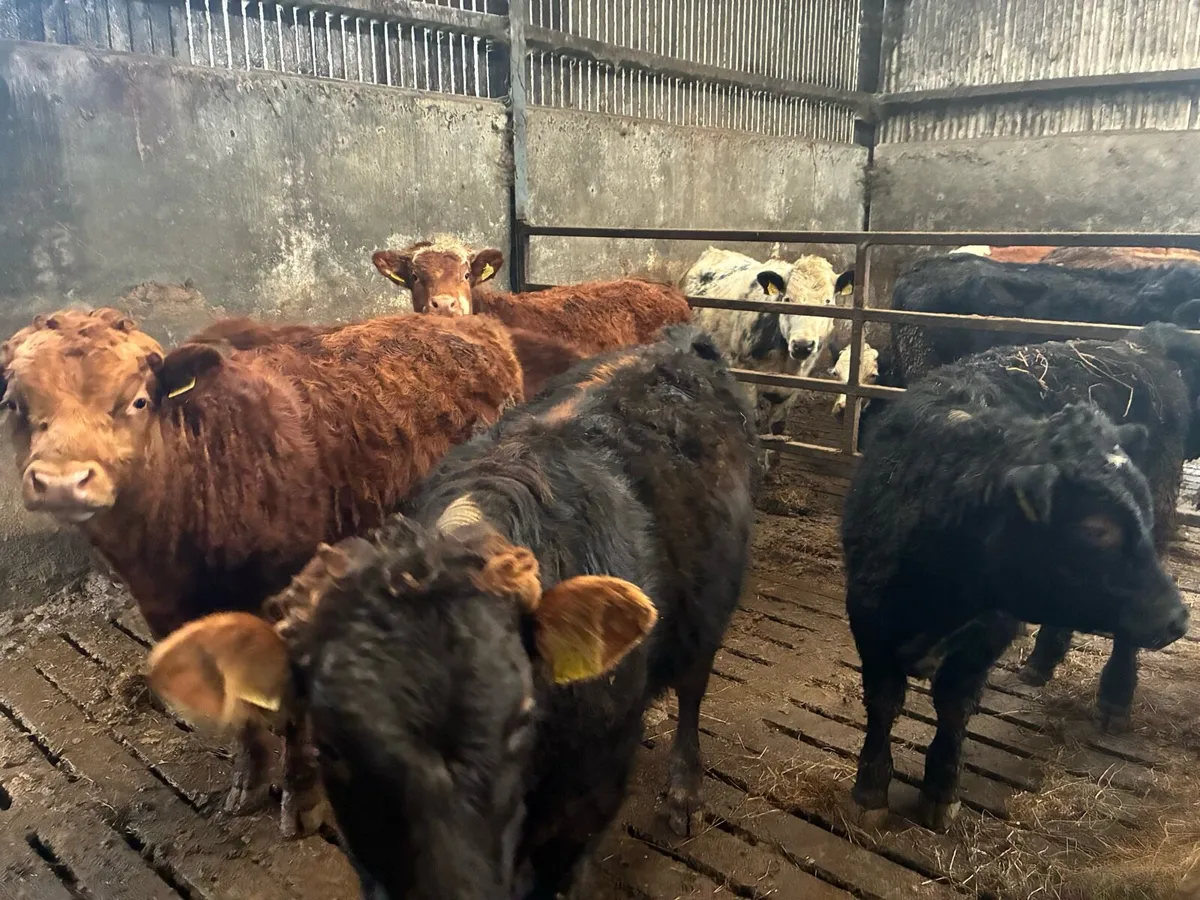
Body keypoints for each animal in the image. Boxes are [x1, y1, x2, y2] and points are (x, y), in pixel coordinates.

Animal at [2, 307, 524, 838]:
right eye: (13, 404)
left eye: (138, 401)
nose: (63, 482)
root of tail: (467, 323)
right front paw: (247, 784)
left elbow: (294, 713)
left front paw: (303, 800)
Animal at [147, 323, 760, 899]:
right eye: (331, 747)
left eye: (522, 721)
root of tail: (680, 342)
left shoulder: (585, 806)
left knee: (693, 689)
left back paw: (682, 791)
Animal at [681, 247, 862, 435]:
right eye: (787, 299)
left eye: (827, 301)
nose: (802, 345)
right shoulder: (745, 377)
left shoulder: (792, 389)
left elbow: (777, 427)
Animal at [842, 366, 1188, 832]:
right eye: (1097, 529)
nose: (1178, 618)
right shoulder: (868, 619)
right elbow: (882, 703)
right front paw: (871, 787)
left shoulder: (987, 633)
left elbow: (953, 707)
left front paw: (941, 789)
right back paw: (1040, 663)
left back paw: (1116, 697)